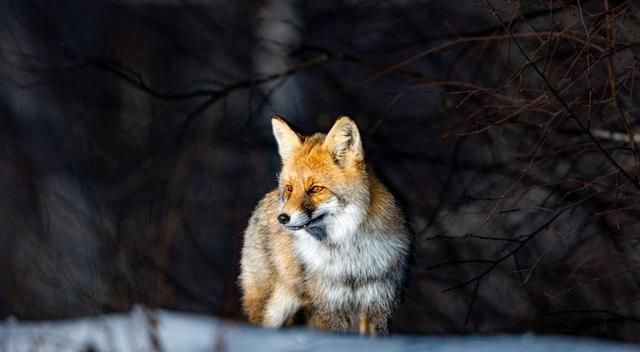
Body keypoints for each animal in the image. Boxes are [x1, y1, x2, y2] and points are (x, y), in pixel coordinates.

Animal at [238, 115, 412, 336]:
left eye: (315, 189)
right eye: (290, 188)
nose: (282, 218)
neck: (350, 262)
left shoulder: (378, 303)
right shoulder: (329, 306)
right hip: (274, 307)